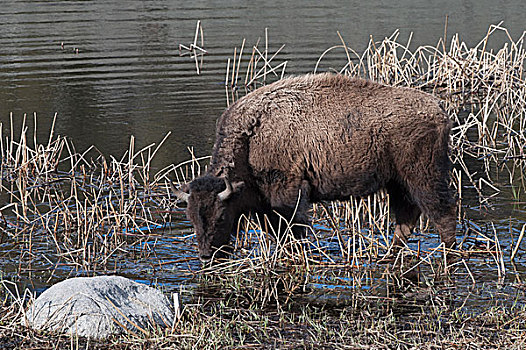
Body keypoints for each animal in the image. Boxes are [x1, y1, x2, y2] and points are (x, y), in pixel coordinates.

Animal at [176, 73, 458, 262]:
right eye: (191, 217)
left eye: (221, 215)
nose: (205, 255)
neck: (251, 137)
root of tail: (439, 108)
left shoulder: (288, 192)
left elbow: (294, 228)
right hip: (398, 183)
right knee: (406, 218)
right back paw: (389, 252)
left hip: (424, 177)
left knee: (441, 212)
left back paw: (449, 252)